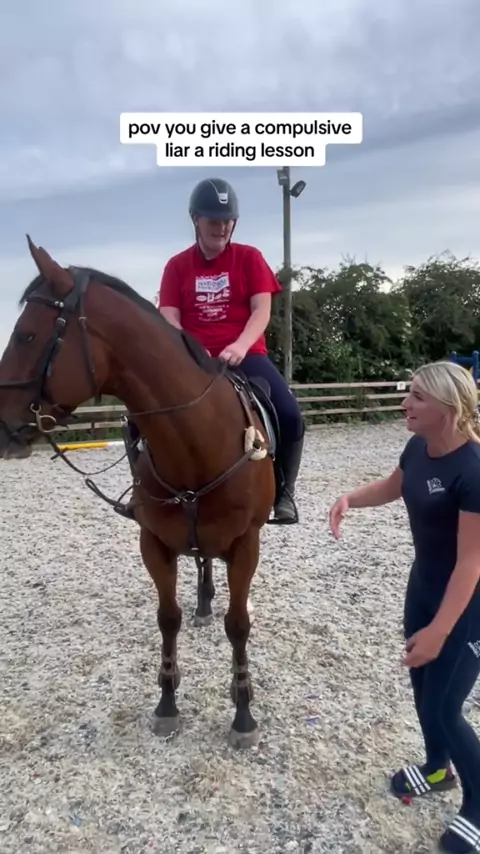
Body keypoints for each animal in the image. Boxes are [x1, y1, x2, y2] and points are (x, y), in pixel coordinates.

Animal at [0, 236, 284, 749]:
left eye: (27, 337)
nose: (0, 427)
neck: (197, 440)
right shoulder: (153, 543)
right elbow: (167, 617)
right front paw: (167, 703)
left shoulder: (245, 543)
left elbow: (238, 625)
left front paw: (243, 713)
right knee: (202, 564)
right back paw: (204, 600)